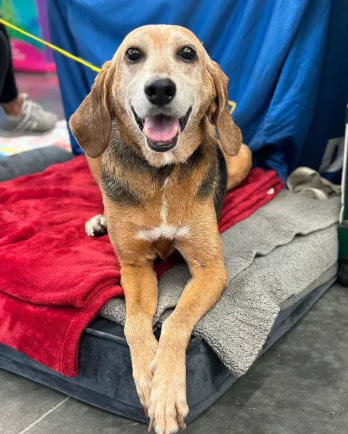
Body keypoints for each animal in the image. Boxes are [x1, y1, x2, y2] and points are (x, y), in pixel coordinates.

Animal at [69, 26, 251, 434]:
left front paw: (166, 393)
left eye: (188, 53)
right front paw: (148, 379)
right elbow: (135, 323)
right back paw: (99, 218)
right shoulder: (135, 266)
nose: (160, 89)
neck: (162, 171)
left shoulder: (210, 269)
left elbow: (175, 321)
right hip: (94, 154)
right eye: (133, 54)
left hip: (241, 153)